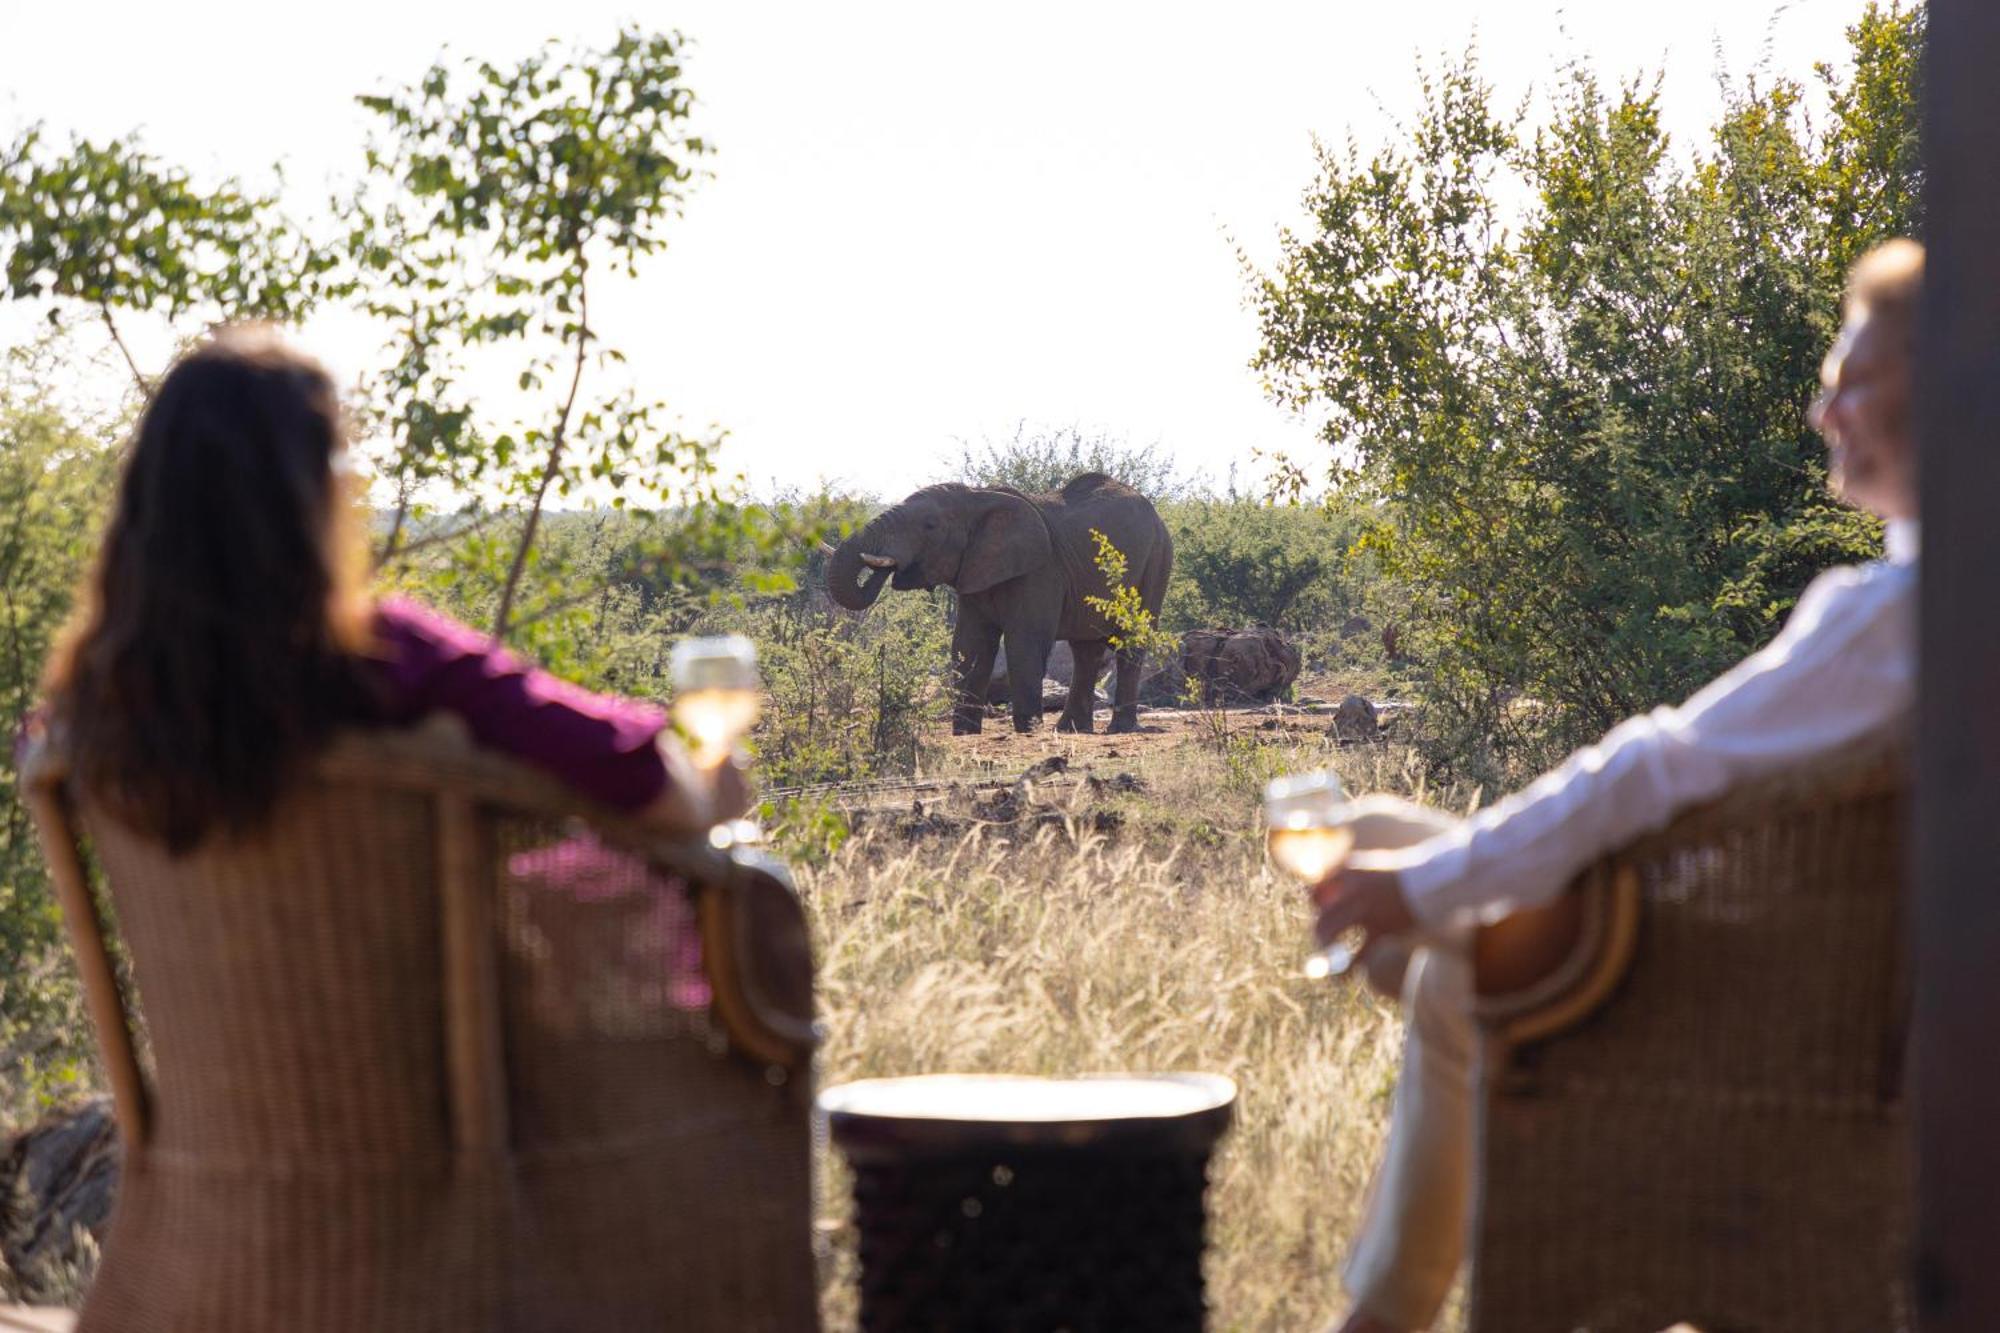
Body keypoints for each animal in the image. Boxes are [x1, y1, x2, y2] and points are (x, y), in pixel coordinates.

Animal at [828, 472, 1168, 732]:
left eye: (930, 526)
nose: (887, 568)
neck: (978, 498)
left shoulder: (1041, 570)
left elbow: (1025, 641)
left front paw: (1027, 730)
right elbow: (970, 645)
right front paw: (964, 732)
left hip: (1157, 559)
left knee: (1130, 642)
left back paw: (1118, 729)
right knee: (1085, 649)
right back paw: (1071, 730)